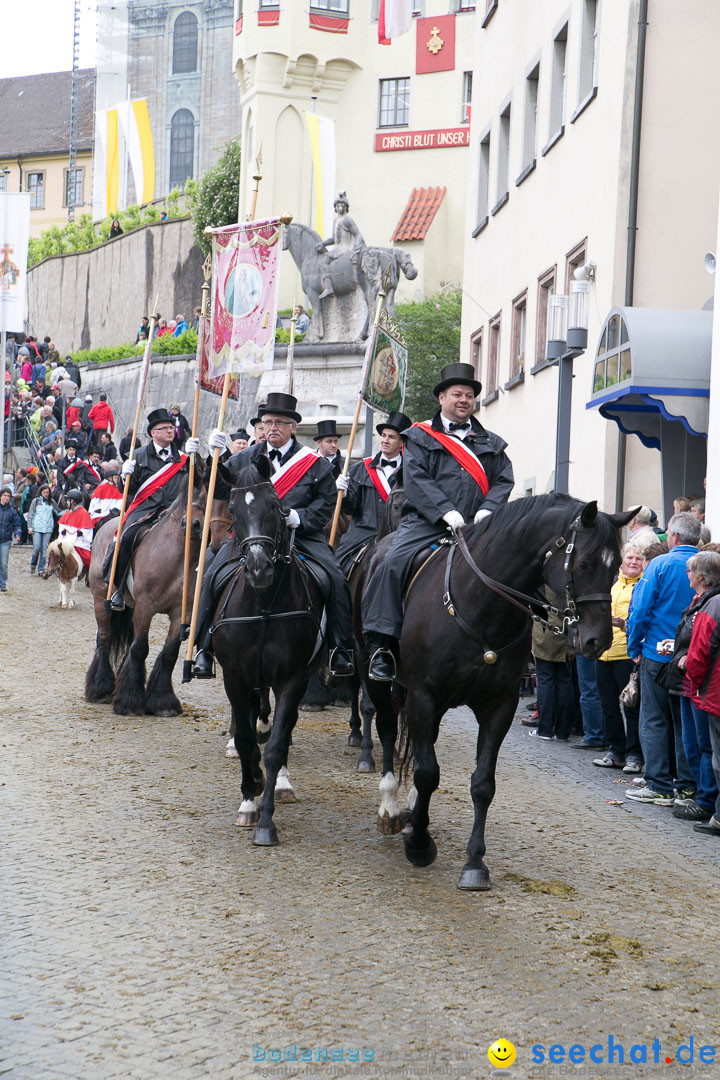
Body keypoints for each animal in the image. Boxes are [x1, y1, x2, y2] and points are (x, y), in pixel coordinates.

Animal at [85, 475, 213, 717]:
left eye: (207, 500)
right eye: (188, 497)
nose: (195, 525)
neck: (177, 558)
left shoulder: (181, 613)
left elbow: (169, 652)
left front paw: (162, 701)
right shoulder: (146, 606)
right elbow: (140, 648)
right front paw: (130, 702)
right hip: (100, 598)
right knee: (104, 639)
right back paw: (100, 689)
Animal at [211, 455, 323, 842]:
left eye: (275, 505)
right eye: (232, 509)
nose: (260, 568)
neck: (263, 604)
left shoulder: (293, 677)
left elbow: (276, 744)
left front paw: (266, 820)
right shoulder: (234, 676)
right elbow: (246, 738)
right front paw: (249, 798)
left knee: (284, 730)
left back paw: (283, 784)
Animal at [362, 494, 634, 889]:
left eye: (615, 572)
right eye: (584, 564)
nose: (597, 641)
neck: (482, 606)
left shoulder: (499, 706)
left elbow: (482, 783)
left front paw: (474, 862)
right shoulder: (423, 696)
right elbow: (428, 772)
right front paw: (419, 845)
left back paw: (412, 809)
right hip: (380, 683)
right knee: (385, 731)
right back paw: (390, 806)